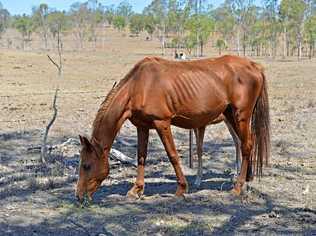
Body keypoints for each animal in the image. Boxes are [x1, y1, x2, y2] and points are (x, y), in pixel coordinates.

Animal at [76, 54, 270, 201]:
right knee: (246, 144)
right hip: (231, 116)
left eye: (86, 165)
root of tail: (255, 66)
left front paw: (181, 188)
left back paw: (237, 187)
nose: (78, 196)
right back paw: (246, 179)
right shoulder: (142, 126)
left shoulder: (162, 123)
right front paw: (136, 190)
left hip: (241, 116)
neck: (139, 85)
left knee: (246, 146)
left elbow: (173, 155)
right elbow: (141, 157)